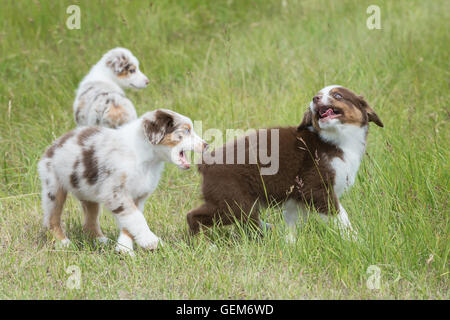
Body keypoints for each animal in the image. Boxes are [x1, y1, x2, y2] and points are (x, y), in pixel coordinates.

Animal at [38, 109, 207, 254]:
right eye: (186, 130)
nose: (206, 145)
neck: (146, 158)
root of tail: (54, 144)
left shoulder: (138, 196)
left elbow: (129, 222)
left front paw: (124, 249)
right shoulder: (116, 192)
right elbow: (136, 218)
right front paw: (151, 241)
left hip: (86, 190)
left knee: (89, 220)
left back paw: (100, 240)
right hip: (53, 187)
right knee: (52, 218)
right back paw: (63, 242)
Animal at [186, 85, 384, 240]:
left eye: (338, 95)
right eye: (317, 95)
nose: (315, 98)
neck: (336, 139)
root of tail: (205, 164)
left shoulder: (296, 198)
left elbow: (292, 224)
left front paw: (291, 245)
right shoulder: (316, 189)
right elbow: (341, 216)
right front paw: (356, 240)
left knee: (249, 222)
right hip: (233, 202)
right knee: (193, 216)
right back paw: (202, 244)